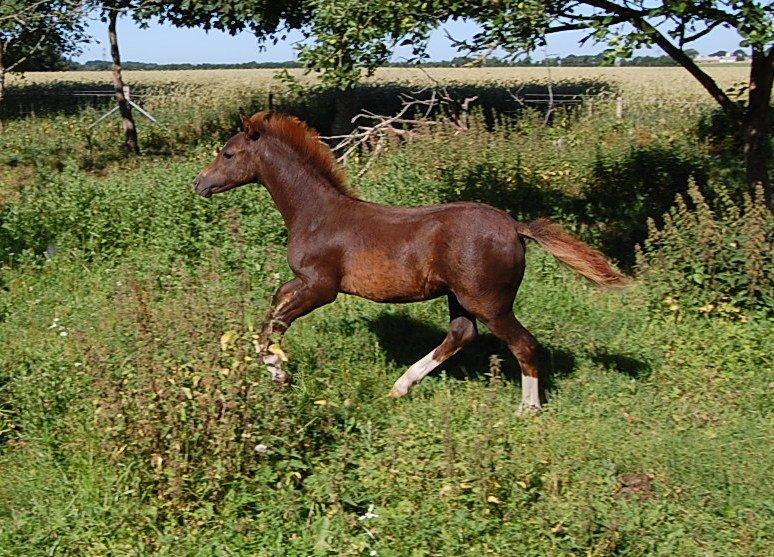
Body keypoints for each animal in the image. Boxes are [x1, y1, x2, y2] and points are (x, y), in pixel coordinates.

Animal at [193, 111, 628, 412]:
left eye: (228, 153)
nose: (199, 184)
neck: (316, 213)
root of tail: (515, 227)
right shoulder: (302, 280)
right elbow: (274, 308)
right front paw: (273, 366)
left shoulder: (322, 287)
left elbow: (278, 321)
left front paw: (277, 370)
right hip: (460, 297)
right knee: (461, 334)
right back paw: (401, 386)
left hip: (488, 302)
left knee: (523, 344)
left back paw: (528, 410)